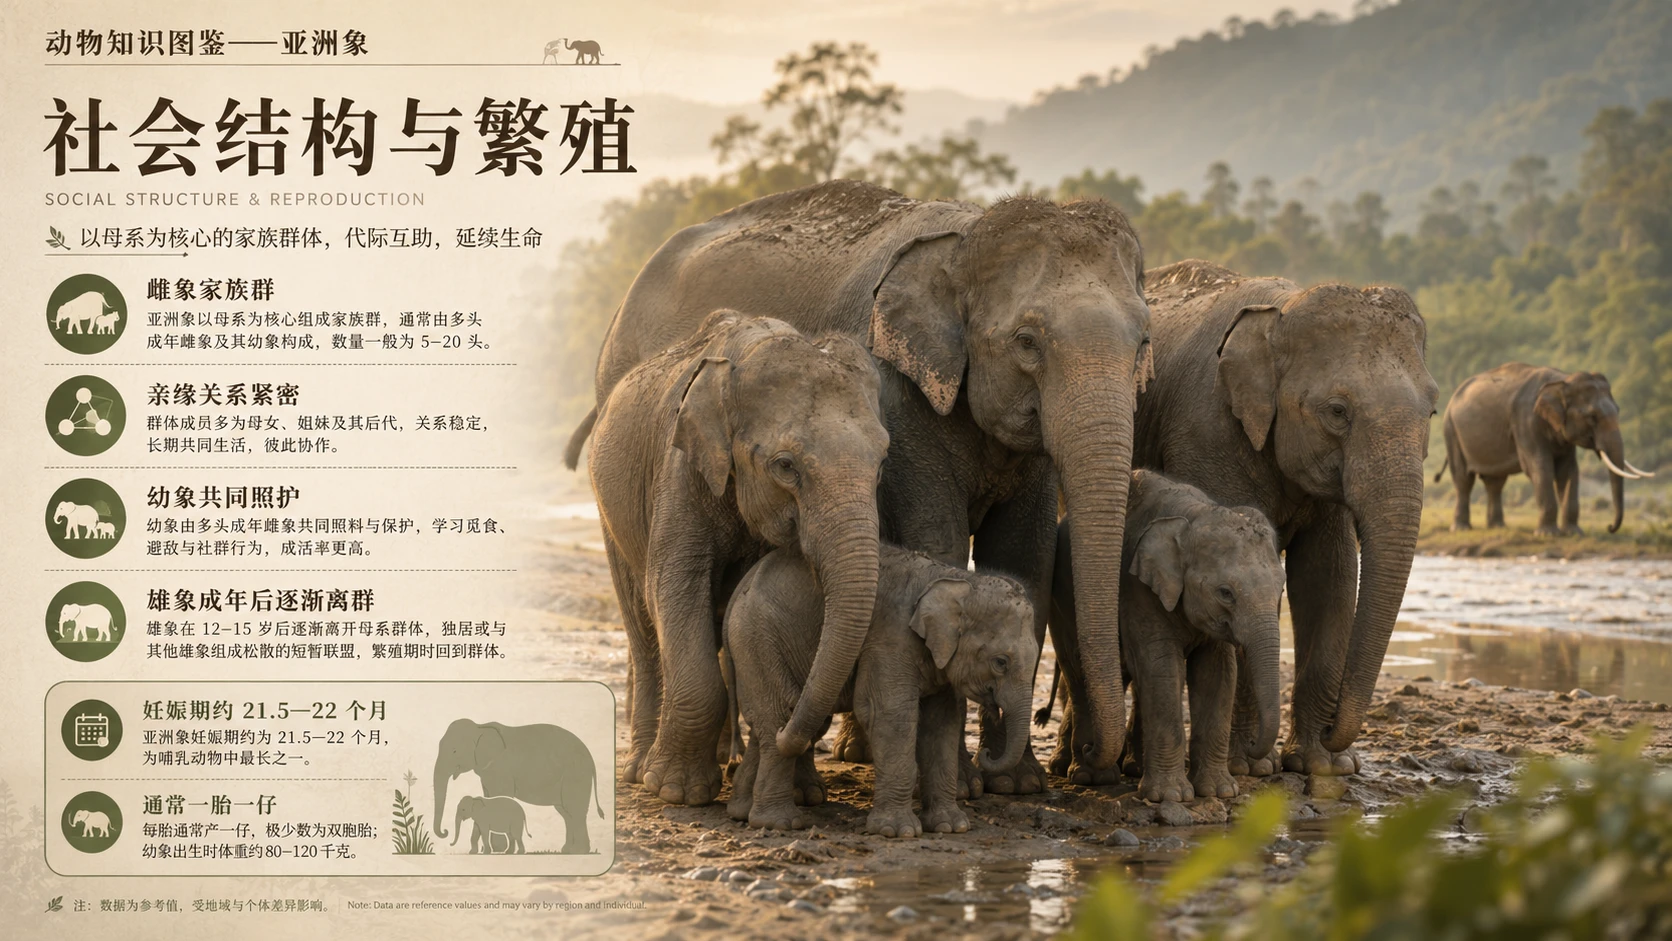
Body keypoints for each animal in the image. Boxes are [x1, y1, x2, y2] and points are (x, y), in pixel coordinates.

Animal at [432, 719, 603, 855]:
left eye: (454, 750)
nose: (445, 832)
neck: (480, 728)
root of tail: (590, 758)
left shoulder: (501, 769)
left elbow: (500, 795)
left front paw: (498, 850)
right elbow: (488, 798)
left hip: (575, 773)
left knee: (575, 810)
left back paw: (579, 851)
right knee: (566, 813)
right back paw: (567, 850)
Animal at [589, 310, 889, 807]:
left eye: (883, 462)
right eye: (785, 466)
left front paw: (802, 794)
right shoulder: (681, 470)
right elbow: (673, 583)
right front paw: (678, 792)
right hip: (612, 511)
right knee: (642, 622)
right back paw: (639, 771)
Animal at [726, 544, 1039, 836]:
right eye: (1000, 662)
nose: (985, 753)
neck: (958, 579)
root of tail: (739, 589)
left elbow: (942, 723)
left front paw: (951, 827)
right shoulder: (890, 638)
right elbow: (890, 716)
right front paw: (898, 832)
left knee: (769, 724)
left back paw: (742, 810)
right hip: (757, 640)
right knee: (779, 714)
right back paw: (780, 822)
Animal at [1051, 470, 1284, 800]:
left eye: (1281, 588)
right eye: (1225, 593)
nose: (1252, 746)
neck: (1195, 515)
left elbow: (1218, 674)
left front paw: (1219, 791)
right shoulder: (1138, 589)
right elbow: (1161, 667)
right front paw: (1171, 796)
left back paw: (1126, 767)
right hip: (1061, 600)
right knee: (1078, 670)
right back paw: (1090, 775)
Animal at [1437, 363, 1653, 535]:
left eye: (1618, 410)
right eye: (1592, 417)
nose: (1610, 527)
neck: (1562, 380)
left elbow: (1568, 470)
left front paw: (1574, 533)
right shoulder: (1525, 421)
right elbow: (1540, 467)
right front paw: (1548, 534)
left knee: (1495, 482)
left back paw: (1497, 527)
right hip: (1451, 429)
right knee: (1463, 480)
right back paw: (1461, 529)